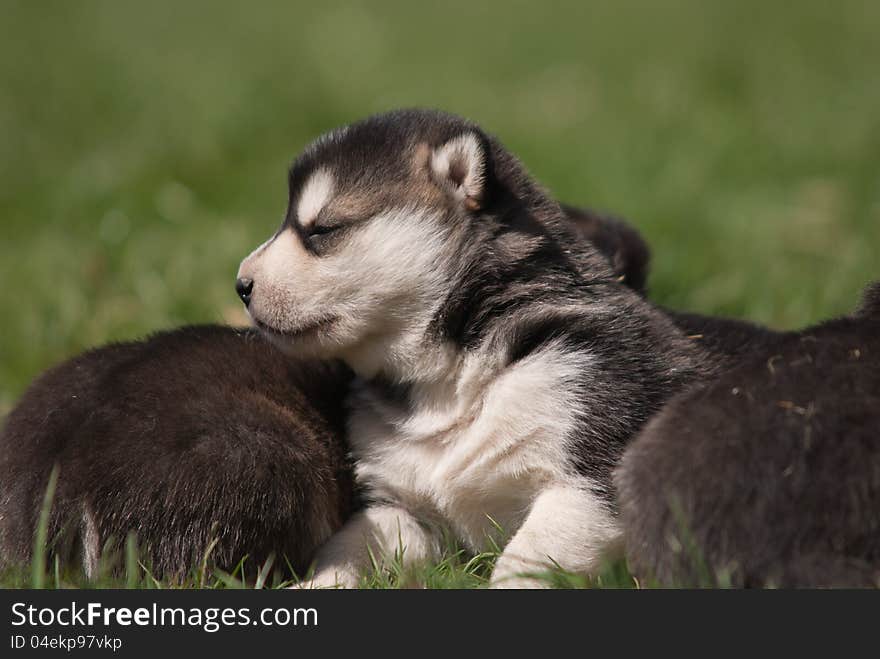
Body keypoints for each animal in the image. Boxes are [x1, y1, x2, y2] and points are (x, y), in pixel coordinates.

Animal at [237, 111, 704, 592]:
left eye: (322, 230)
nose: (241, 284)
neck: (457, 374)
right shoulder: (399, 506)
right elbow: (352, 546)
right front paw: (315, 585)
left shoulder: (591, 473)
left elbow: (531, 554)